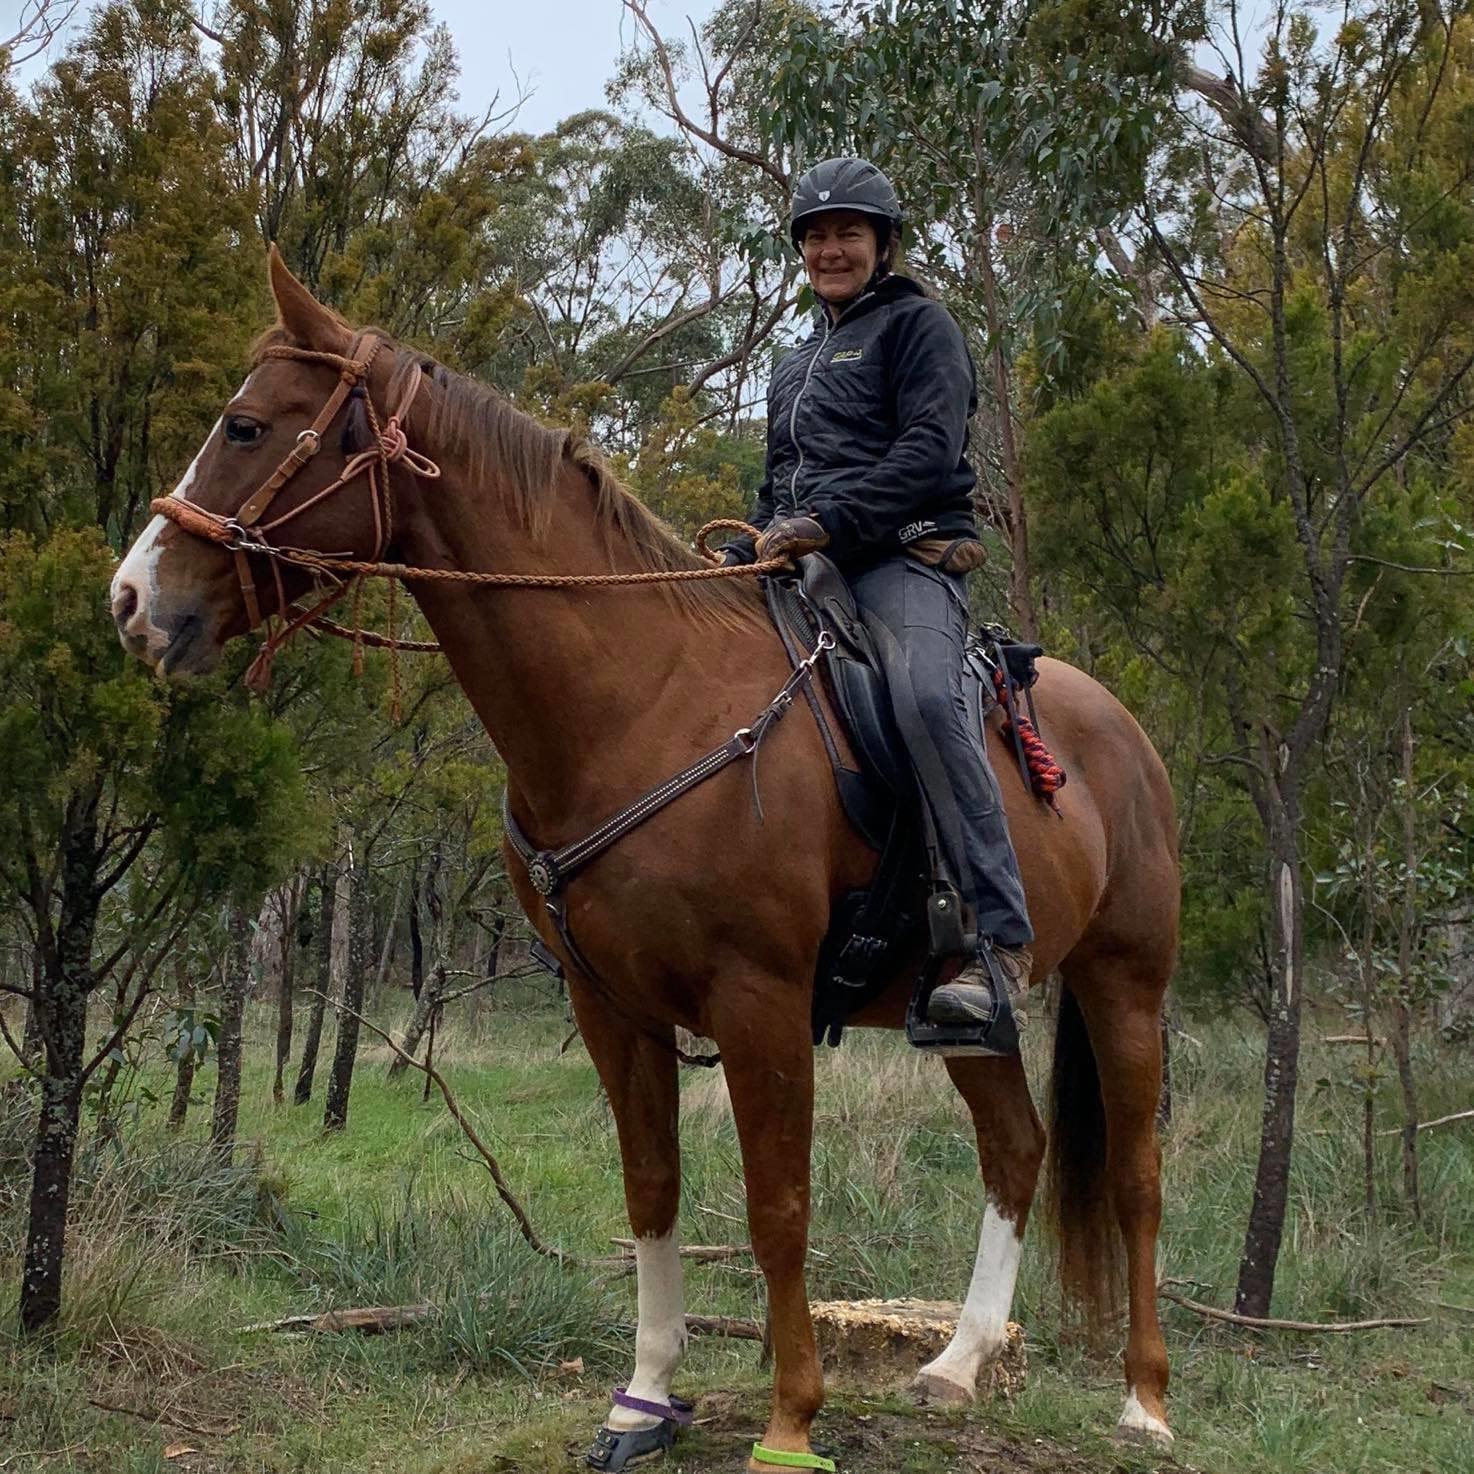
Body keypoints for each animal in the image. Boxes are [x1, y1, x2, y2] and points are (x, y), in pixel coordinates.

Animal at [112, 248, 1180, 1469]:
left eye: (245, 427)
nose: (133, 601)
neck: (639, 703)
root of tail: (1126, 736)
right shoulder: (609, 1005)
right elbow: (652, 1192)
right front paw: (644, 1399)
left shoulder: (760, 1002)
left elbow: (778, 1209)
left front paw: (789, 1419)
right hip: (961, 1011)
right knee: (1015, 1149)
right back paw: (956, 1366)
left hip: (1125, 984)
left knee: (1136, 1179)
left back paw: (1144, 1402)